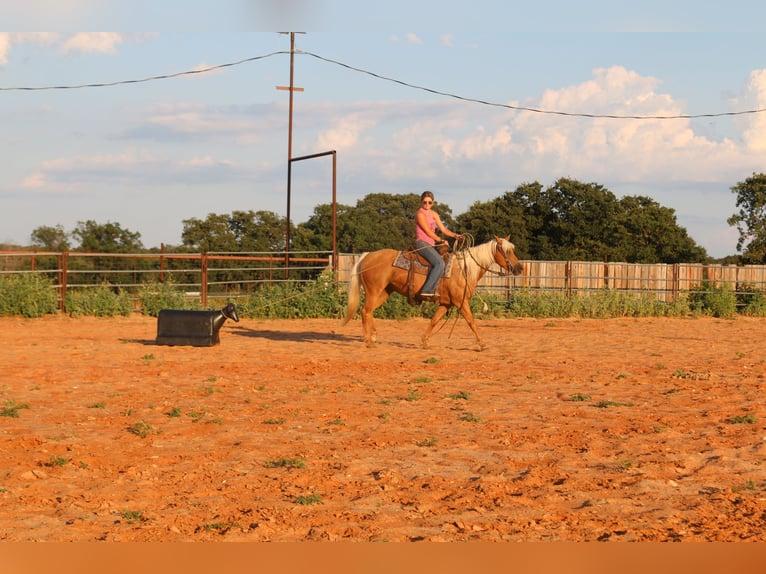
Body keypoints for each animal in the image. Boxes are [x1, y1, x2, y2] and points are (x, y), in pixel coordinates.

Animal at [342, 236, 524, 350]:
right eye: (507, 251)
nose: (520, 268)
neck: (463, 269)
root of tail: (367, 256)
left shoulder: (445, 304)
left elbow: (434, 321)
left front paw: (424, 341)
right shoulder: (461, 302)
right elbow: (471, 322)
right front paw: (482, 344)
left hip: (385, 292)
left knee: (369, 311)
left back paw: (373, 336)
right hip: (374, 291)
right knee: (365, 311)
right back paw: (368, 341)